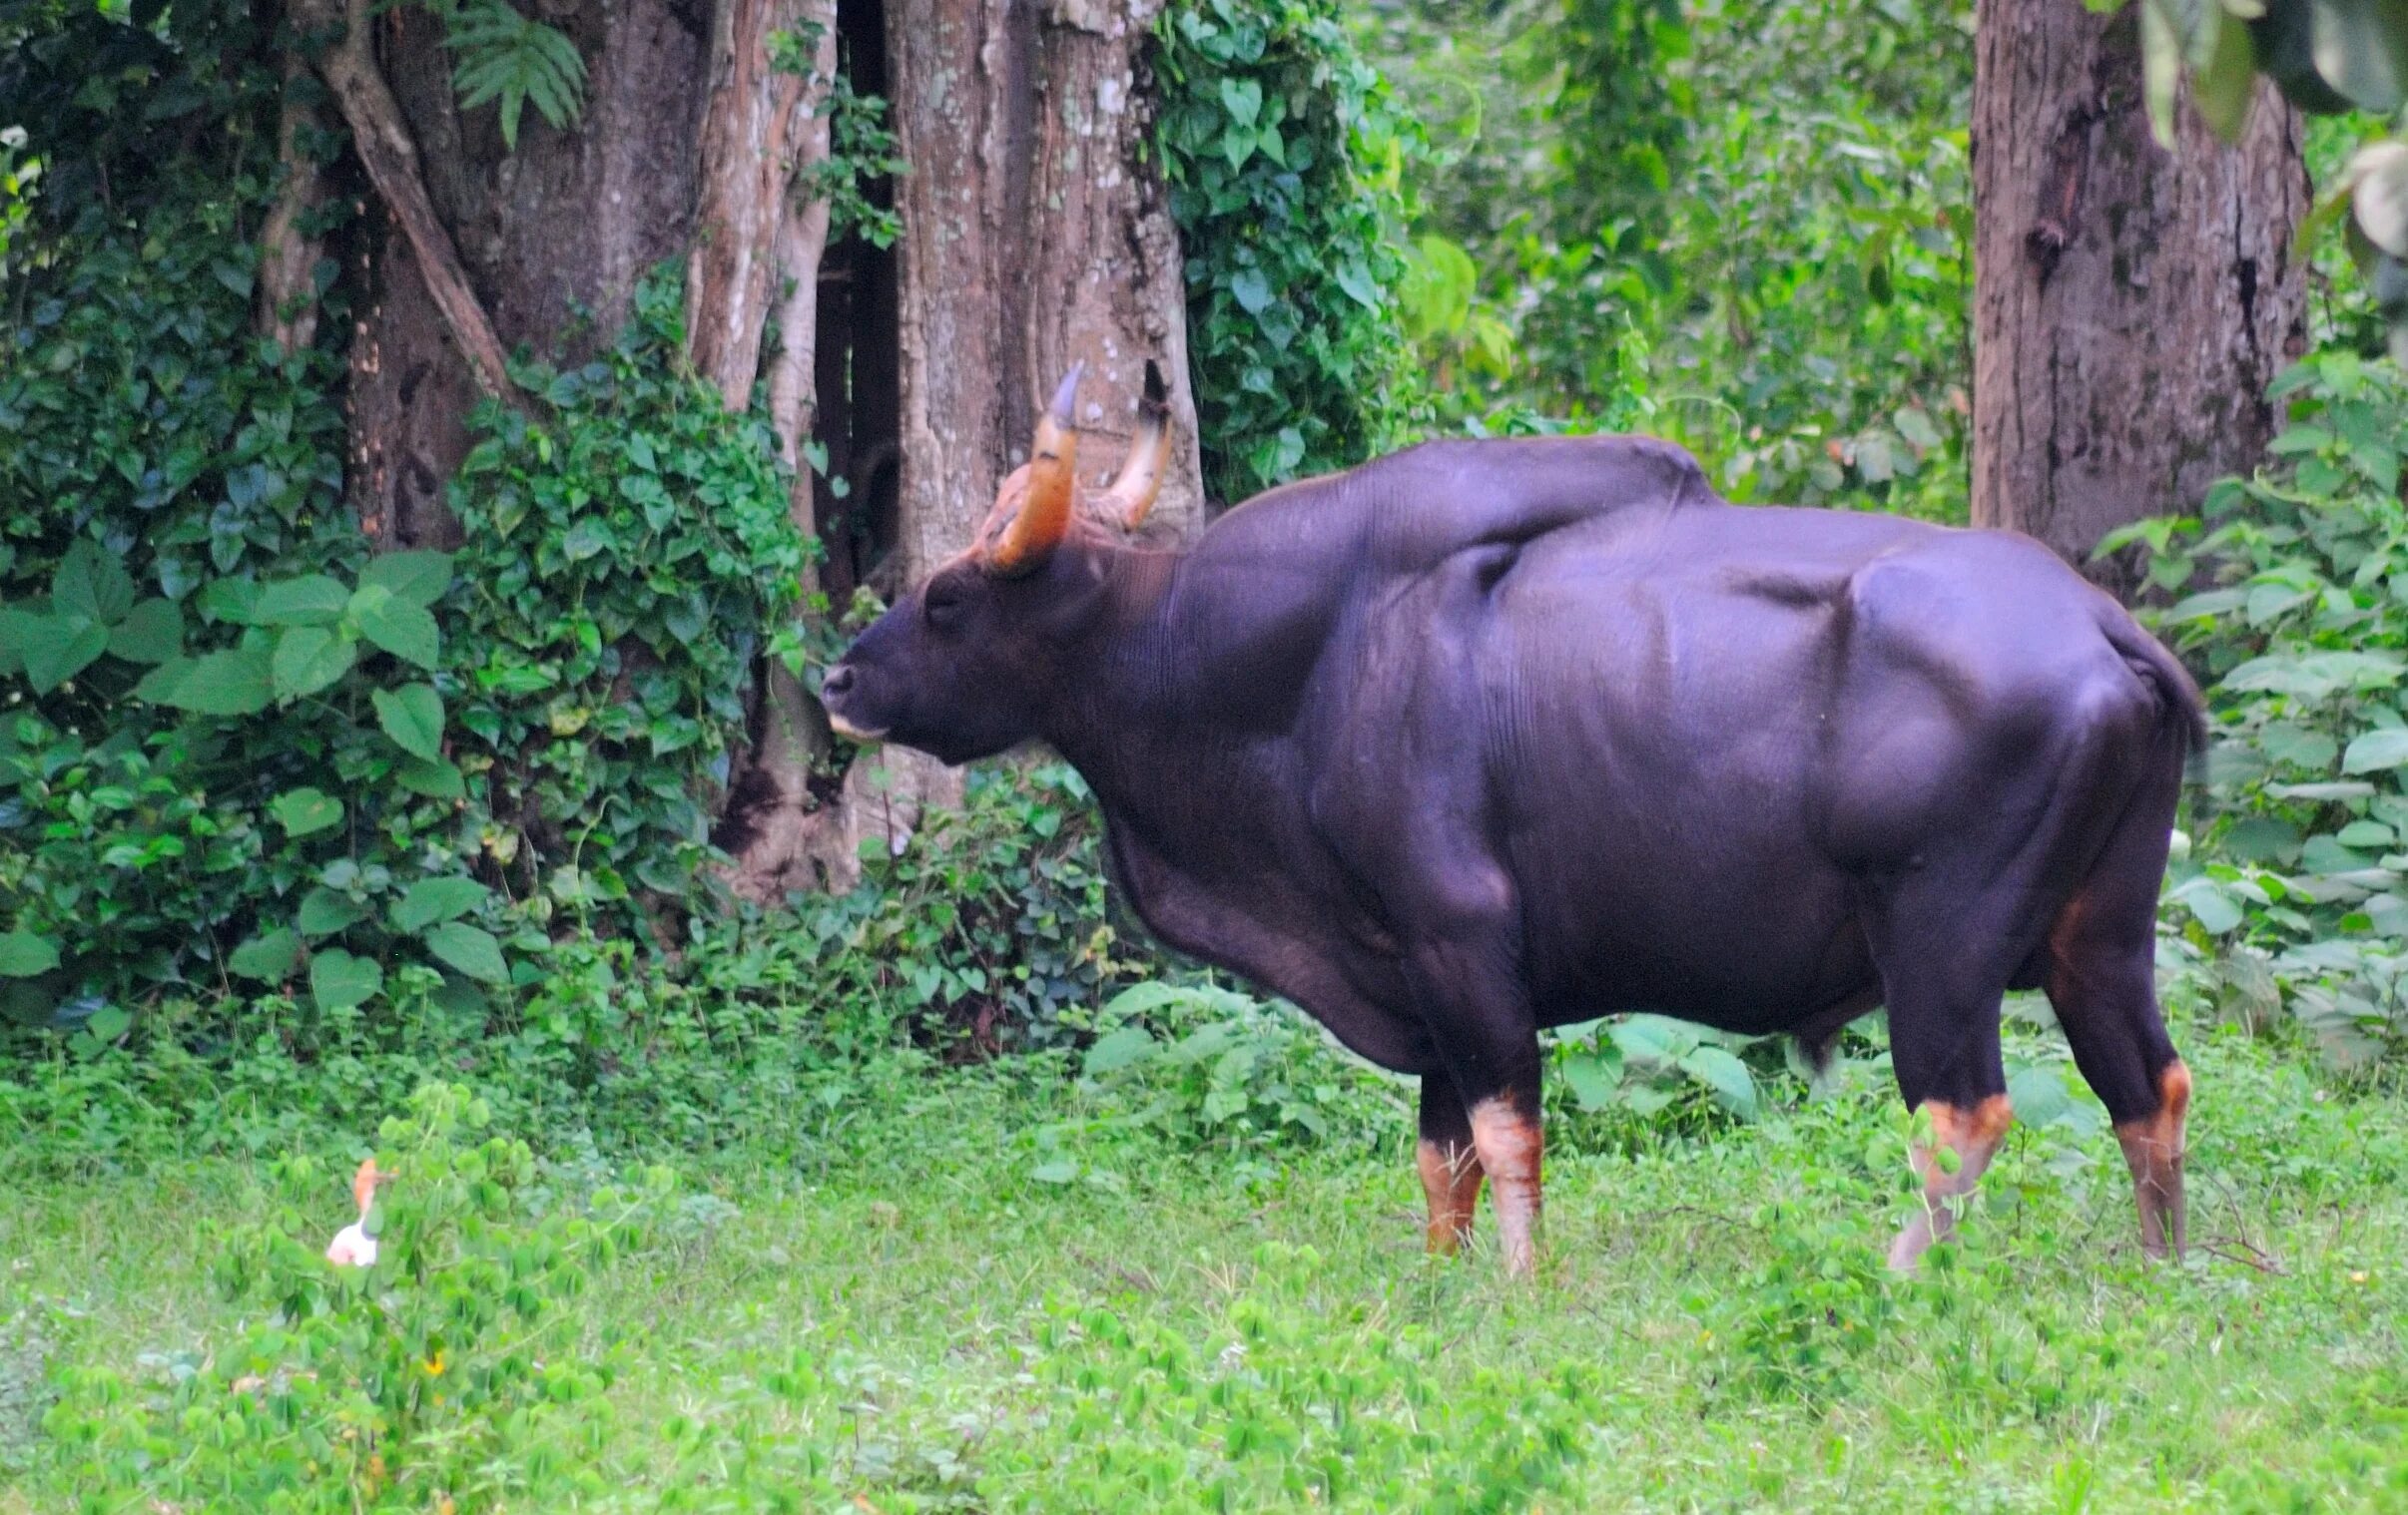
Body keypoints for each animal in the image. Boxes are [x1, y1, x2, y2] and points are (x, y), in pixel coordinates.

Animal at [823, 418, 2205, 1271]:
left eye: (949, 596)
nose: (837, 680)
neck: (1304, 660)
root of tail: (2100, 626)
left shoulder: (1463, 946)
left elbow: (1504, 1135)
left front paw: (1518, 1290)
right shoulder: (1410, 971)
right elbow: (1440, 1158)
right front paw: (1438, 1286)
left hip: (1942, 947)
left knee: (1964, 1113)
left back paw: (1900, 1274)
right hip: (2100, 936)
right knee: (2150, 1086)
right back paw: (2162, 1269)